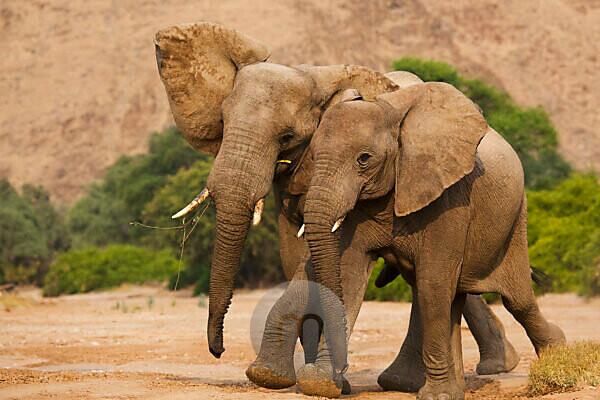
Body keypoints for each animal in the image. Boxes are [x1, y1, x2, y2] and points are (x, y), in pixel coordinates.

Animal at [155, 23, 520, 396]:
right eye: (223, 123)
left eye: (286, 137)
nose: (218, 349)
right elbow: (295, 256)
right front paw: (313, 378)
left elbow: (310, 263)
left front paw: (269, 375)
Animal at [294, 79, 568, 398]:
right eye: (313, 157)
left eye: (364, 159)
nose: (339, 374)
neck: (391, 113)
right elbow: (350, 277)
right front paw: (322, 382)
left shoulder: (449, 198)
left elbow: (433, 282)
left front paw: (436, 395)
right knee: (455, 299)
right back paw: (455, 388)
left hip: (515, 218)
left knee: (517, 301)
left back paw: (559, 352)